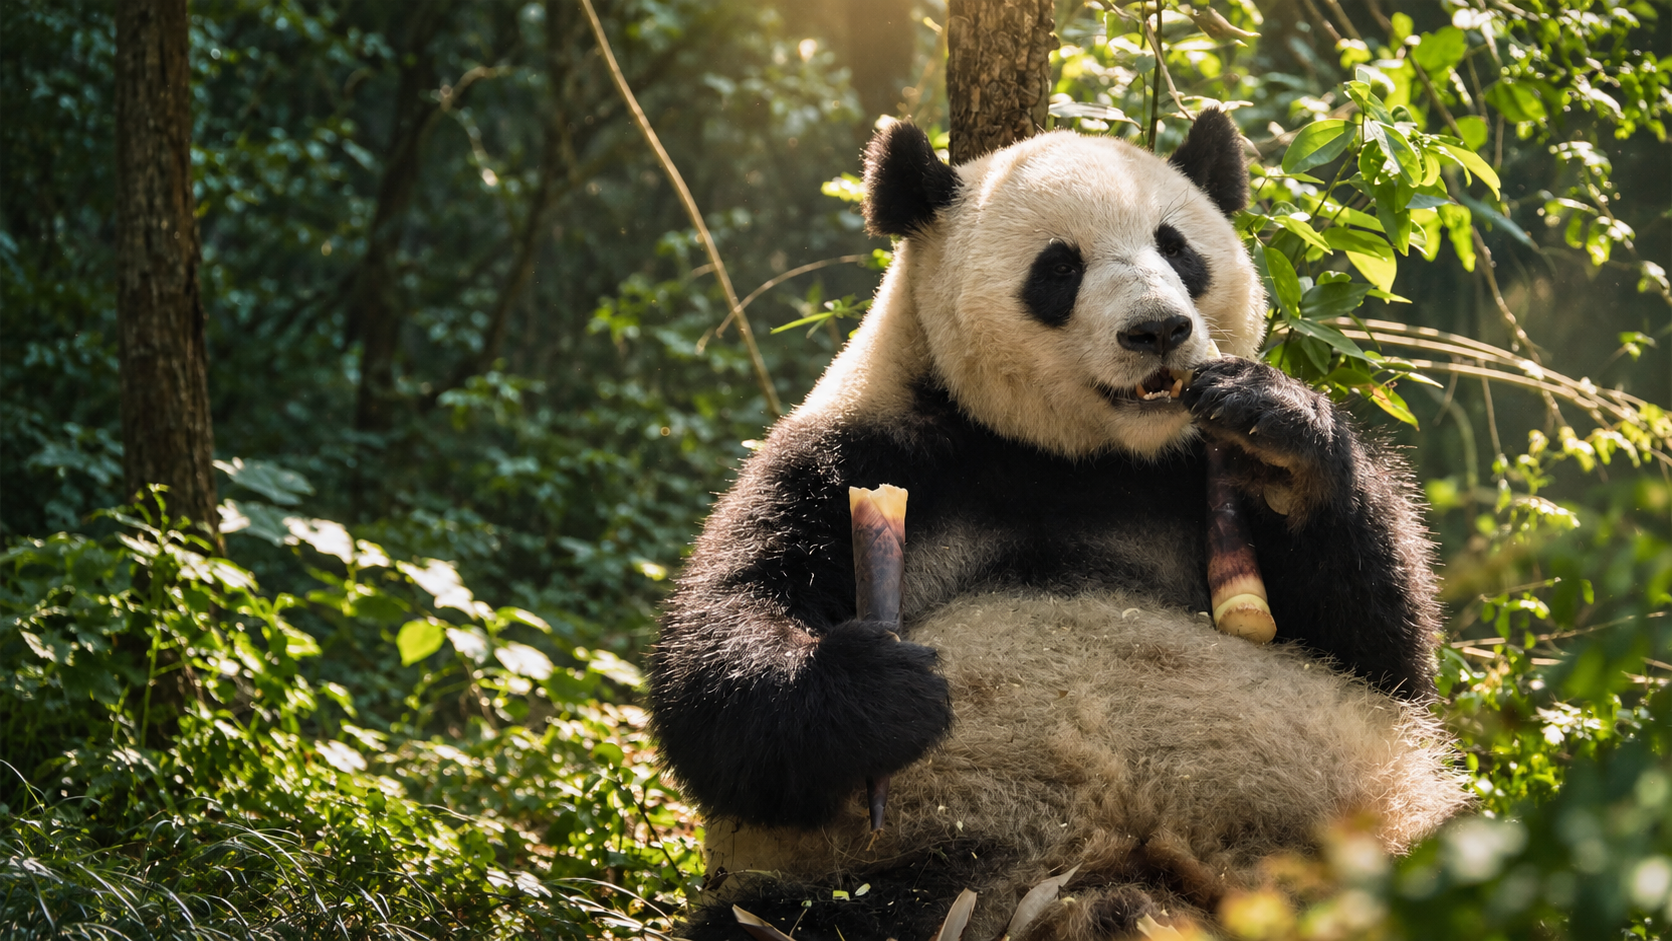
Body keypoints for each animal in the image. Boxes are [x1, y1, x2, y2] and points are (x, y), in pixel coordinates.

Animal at [649, 111, 1468, 940]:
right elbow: (719, 660)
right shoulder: (851, 457)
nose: (1159, 330)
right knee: (797, 917)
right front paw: (885, 687)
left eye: (1177, 246)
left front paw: (1276, 431)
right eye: (1059, 267)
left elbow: (1382, 650)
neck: (1069, 456)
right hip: (910, 871)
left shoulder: (1186, 476)